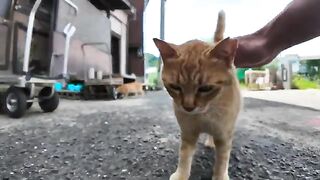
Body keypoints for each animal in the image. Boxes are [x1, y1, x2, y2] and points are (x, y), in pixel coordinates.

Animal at [152, 11, 240, 180]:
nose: (188, 107)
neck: (203, 115)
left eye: (205, 88)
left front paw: (220, 176)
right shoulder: (188, 133)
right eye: (175, 87)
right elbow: (184, 156)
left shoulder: (224, 135)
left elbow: (222, 160)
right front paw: (181, 174)